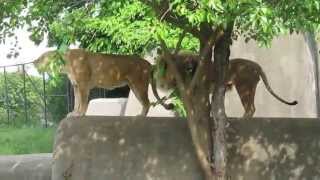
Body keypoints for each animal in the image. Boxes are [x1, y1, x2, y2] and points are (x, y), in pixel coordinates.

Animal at [34, 48, 174, 117]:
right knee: (146, 103)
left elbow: (82, 102)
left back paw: (140, 116)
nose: (34, 62)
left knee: (147, 102)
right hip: (134, 87)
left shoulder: (83, 85)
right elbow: (76, 101)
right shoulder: (76, 86)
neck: (66, 64)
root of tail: (149, 64)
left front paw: (80, 114)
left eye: (42, 57)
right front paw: (73, 113)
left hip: (139, 85)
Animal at [156, 53, 298, 118]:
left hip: (243, 87)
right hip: (250, 88)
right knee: (252, 107)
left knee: (250, 108)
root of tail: (256, 65)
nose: (190, 68)